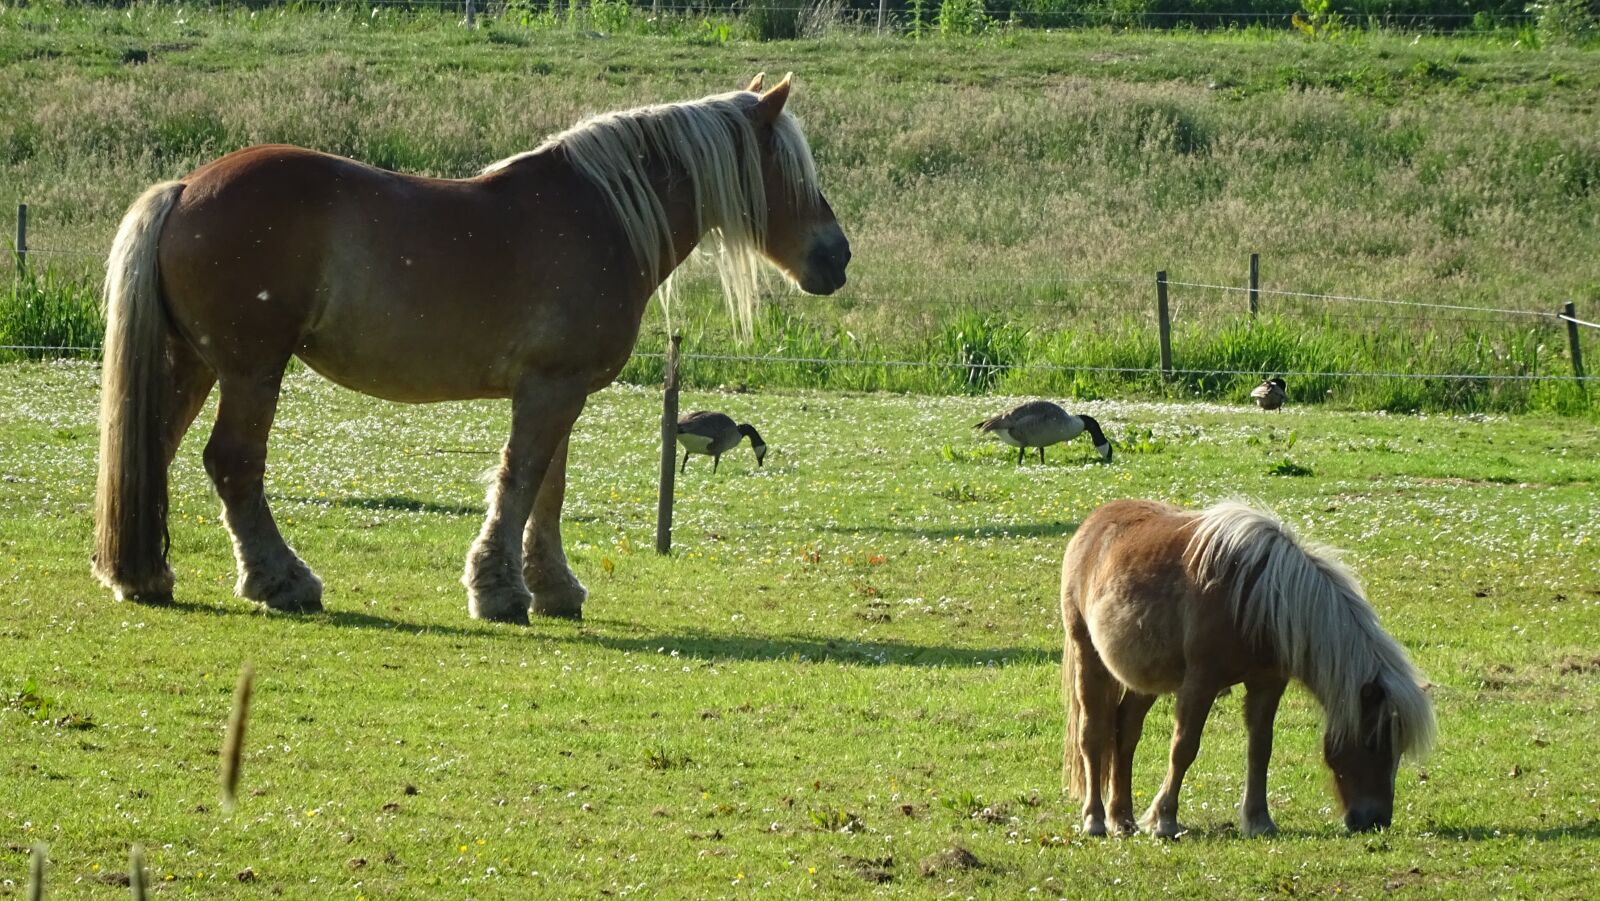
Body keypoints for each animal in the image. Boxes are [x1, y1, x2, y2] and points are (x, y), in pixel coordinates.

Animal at [92, 73, 850, 624]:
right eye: (790, 170)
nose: (836, 256)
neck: (603, 216)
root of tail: (185, 187)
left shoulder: (559, 389)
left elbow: (549, 490)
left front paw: (554, 588)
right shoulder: (550, 388)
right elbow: (520, 481)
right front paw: (500, 592)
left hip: (191, 364)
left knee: (152, 449)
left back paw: (143, 575)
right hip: (252, 370)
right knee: (233, 463)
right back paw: (281, 580)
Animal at [1059, 499, 1435, 838]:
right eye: (1372, 742)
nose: (1376, 820)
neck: (1260, 598)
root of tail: (1094, 523)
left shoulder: (1267, 684)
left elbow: (1260, 749)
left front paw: (1259, 821)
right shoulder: (1200, 683)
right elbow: (1183, 748)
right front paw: (1165, 820)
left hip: (1146, 678)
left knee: (1125, 731)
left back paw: (1122, 819)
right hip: (1088, 656)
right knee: (1092, 736)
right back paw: (1095, 820)